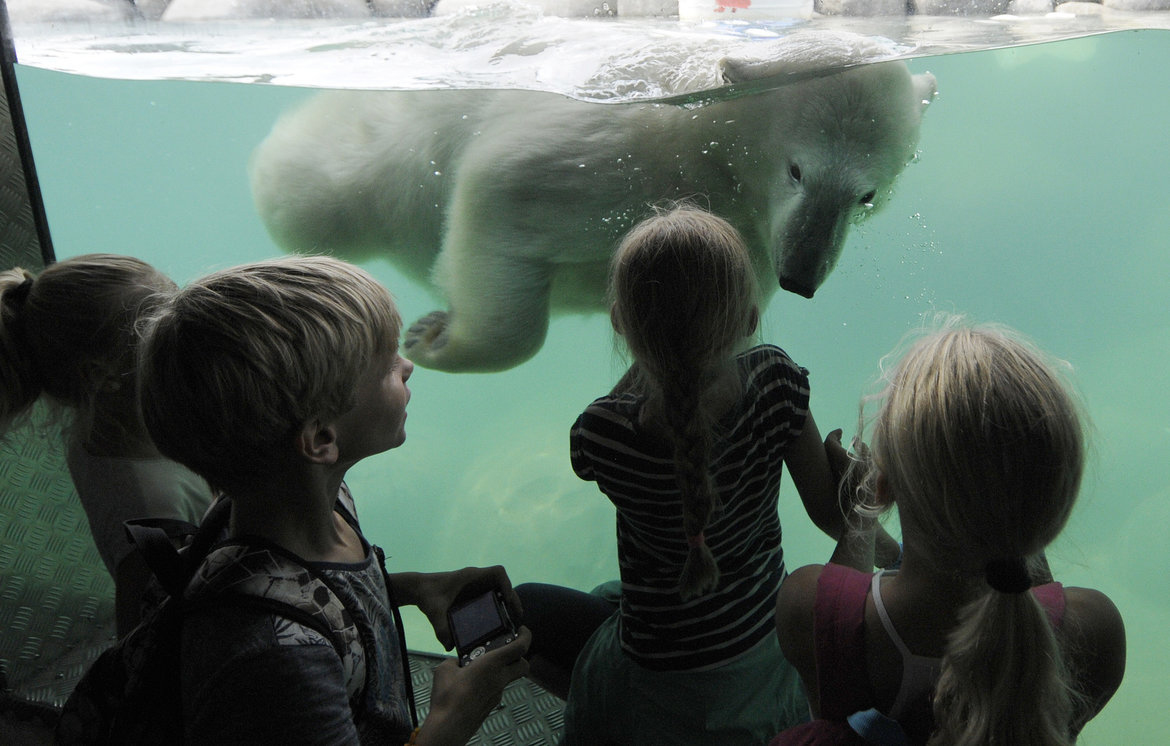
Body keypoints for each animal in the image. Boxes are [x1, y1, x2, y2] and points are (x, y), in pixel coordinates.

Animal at [251, 53, 935, 374]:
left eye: (867, 194)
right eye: (798, 170)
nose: (801, 276)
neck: (701, 145)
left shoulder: (746, 227)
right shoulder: (614, 141)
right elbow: (505, 187)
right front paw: (434, 337)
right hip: (388, 155)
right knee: (317, 194)